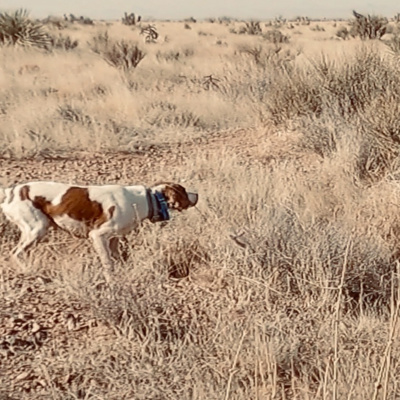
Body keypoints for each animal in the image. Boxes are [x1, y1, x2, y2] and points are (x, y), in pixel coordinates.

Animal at [0, 183, 198, 274]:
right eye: (183, 190)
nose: (196, 194)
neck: (145, 200)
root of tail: (10, 191)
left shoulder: (114, 239)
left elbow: (118, 259)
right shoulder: (97, 235)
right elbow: (108, 264)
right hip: (37, 228)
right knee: (15, 253)